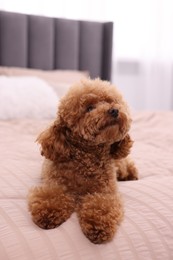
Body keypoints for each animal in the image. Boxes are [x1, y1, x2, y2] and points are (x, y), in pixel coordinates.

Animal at [28, 78, 139, 245]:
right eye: (89, 108)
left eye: (110, 101)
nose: (114, 110)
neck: (87, 159)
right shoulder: (55, 184)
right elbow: (52, 197)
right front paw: (48, 213)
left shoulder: (104, 192)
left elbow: (101, 206)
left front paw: (98, 227)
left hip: (120, 164)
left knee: (126, 164)